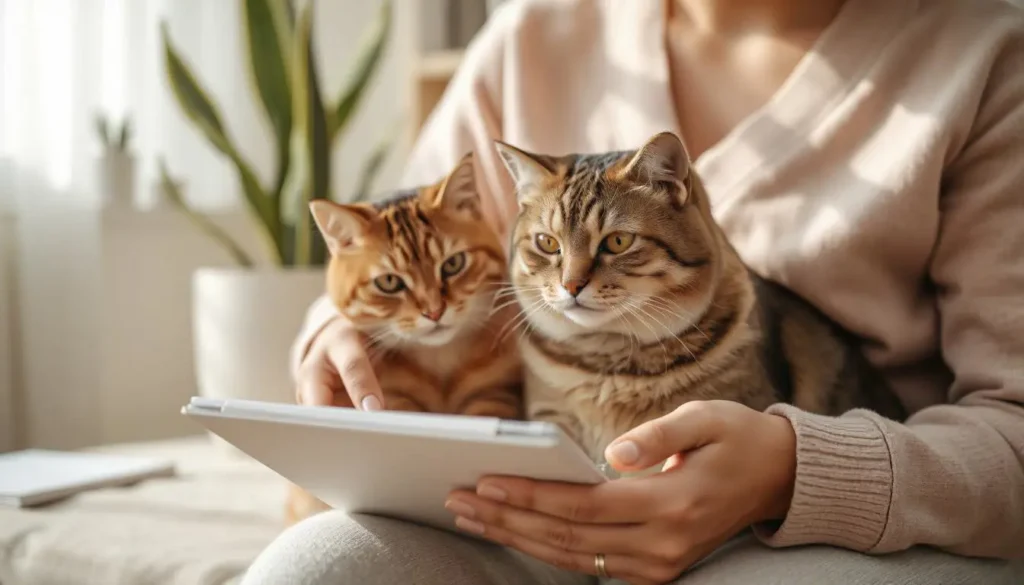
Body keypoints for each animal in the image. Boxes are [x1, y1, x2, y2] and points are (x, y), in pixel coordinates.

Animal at [288, 153, 524, 524]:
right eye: (389, 282)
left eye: (453, 264)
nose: (434, 311)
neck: (440, 363)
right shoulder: (395, 400)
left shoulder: (494, 394)